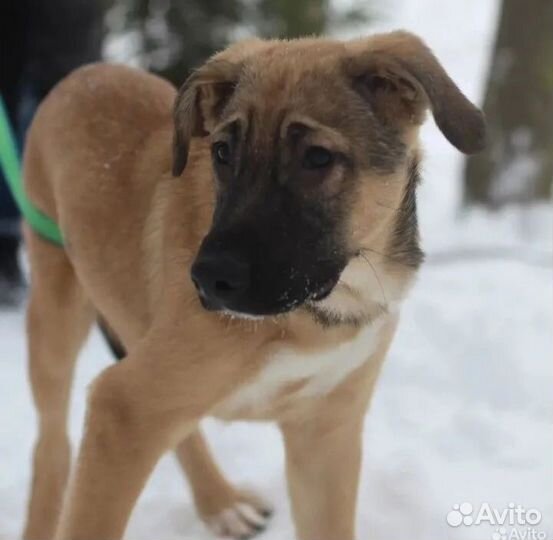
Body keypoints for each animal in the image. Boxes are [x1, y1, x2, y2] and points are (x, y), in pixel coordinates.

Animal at [20, 30, 484, 540]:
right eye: (222, 153)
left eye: (317, 158)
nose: (207, 279)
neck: (321, 313)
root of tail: (84, 74)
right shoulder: (121, 406)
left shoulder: (327, 432)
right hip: (55, 314)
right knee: (51, 448)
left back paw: (220, 501)